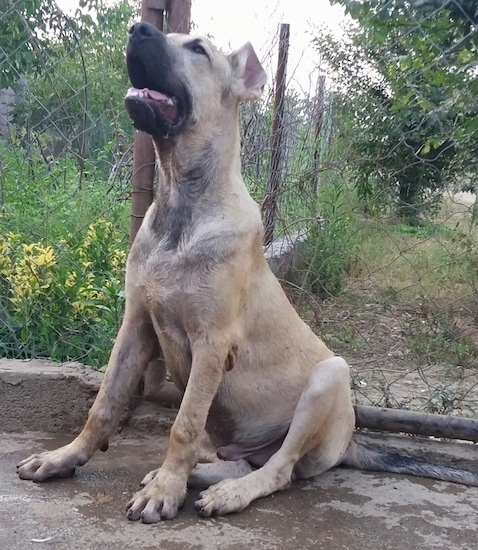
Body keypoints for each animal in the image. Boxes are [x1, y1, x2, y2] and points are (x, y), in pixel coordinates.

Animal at [15, 22, 478, 528]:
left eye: (198, 50)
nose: (138, 29)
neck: (182, 202)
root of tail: (350, 442)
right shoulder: (136, 326)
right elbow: (104, 404)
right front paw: (64, 458)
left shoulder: (212, 344)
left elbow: (183, 425)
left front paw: (164, 490)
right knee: (243, 460)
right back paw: (203, 475)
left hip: (330, 378)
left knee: (280, 470)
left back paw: (227, 492)